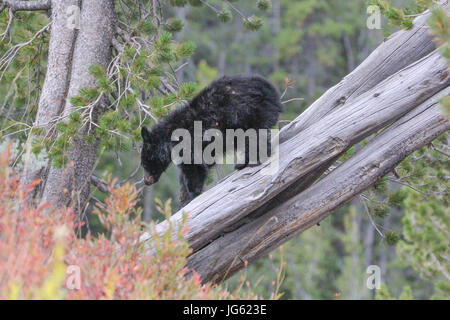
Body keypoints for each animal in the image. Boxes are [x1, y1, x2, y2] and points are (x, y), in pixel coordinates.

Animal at [142, 74, 282, 208]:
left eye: (145, 164)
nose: (146, 181)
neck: (168, 137)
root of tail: (272, 90)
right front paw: (183, 199)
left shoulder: (187, 142)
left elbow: (194, 166)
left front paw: (192, 194)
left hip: (247, 114)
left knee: (255, 138)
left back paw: (247, 162)